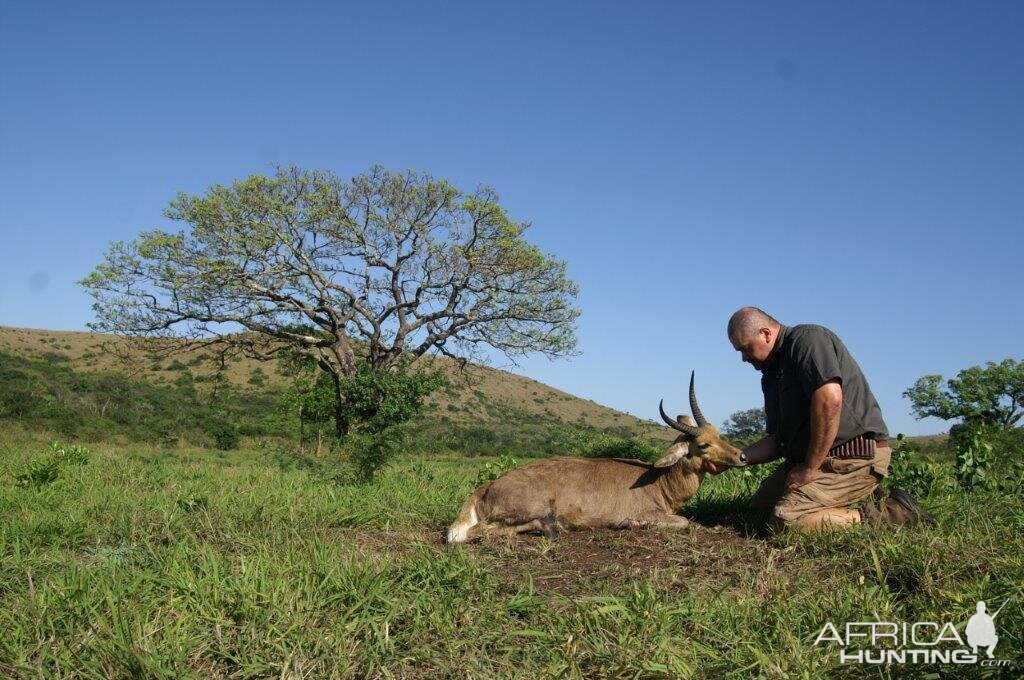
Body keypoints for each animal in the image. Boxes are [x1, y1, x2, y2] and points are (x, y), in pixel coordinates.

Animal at [444, 372, 749, 540]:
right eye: (704, 444)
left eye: (719, 434)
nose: (743, 456)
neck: (657, 480)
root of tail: (486, 487)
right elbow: (685, 522)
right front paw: (632, 524)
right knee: (478, 532)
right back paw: (553, 528)